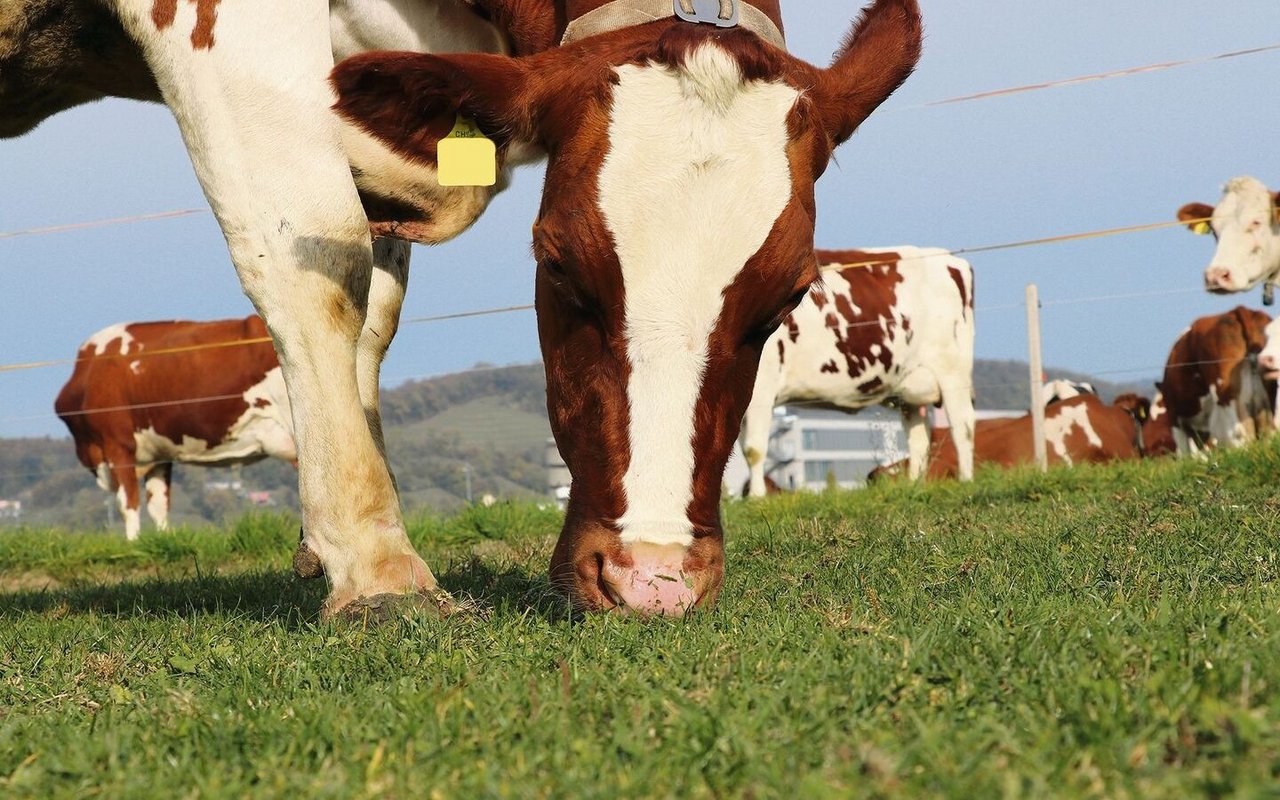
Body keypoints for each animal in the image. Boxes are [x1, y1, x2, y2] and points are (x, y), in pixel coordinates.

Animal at [55, 316, 294, 537]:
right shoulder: (157, 454)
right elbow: (158, 505)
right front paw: (162, 542)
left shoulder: (117, 444)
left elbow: (128, 504)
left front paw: (133, 543)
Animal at [742, 244, 977, 494]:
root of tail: (950, 259)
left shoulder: (762, 386)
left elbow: (753, 449)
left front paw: (756, 497)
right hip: (911, 386)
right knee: (919, 437)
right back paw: (914, 484)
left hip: (953, 373)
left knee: (963, 426)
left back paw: (966, 480)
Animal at [1157, 305, 1274, 455]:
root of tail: (1237, 310)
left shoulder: (1174, 417)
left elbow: (1185, 451)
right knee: (1267, 434)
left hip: (1225, 395)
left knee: (1237, 434)